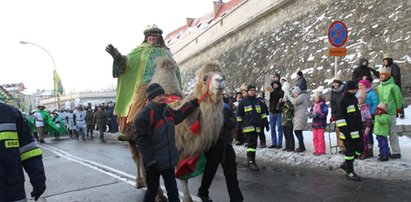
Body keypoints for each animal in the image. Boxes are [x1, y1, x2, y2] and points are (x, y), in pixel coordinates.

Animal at [128, 56, 227, 202]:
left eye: (223, 75)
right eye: (204, 78)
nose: (219, 80)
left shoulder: (184, 150)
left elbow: (182, 176)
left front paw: (186, 198)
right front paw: (162, 195)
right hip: (134, 140)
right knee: (137, 158)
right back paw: (142, 184)